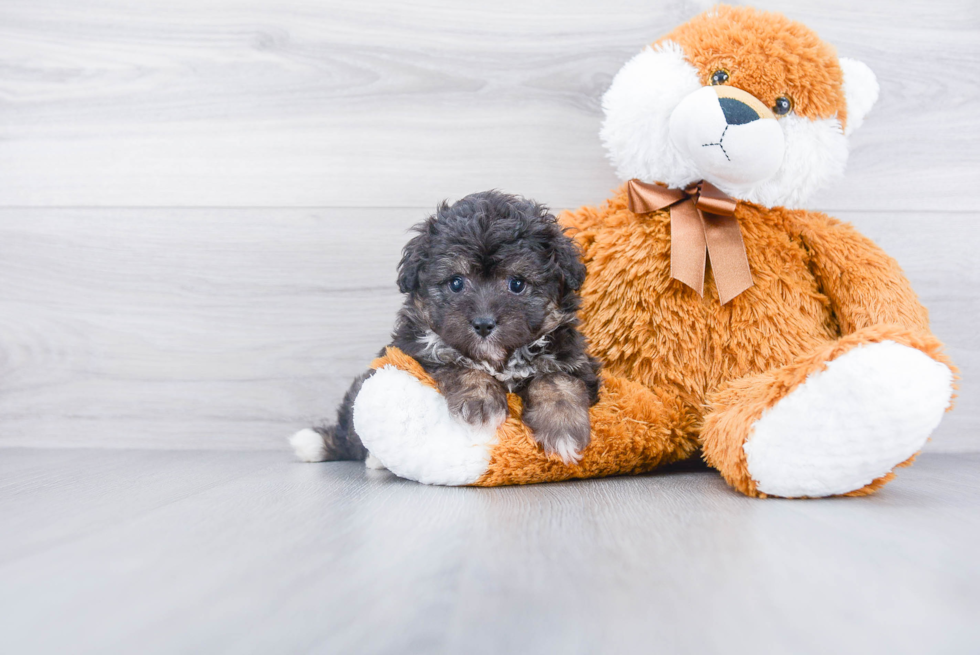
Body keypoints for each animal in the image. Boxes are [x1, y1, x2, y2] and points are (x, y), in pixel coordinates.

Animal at [290, 190, 596, 466]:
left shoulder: (575, 359)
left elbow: (556, 380)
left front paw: (563, 426)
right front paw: (481, 403)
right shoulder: (415, 351)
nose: (483, 324)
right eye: (456, 283)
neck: (499, 359)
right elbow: (458, 364)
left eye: (517, 284)